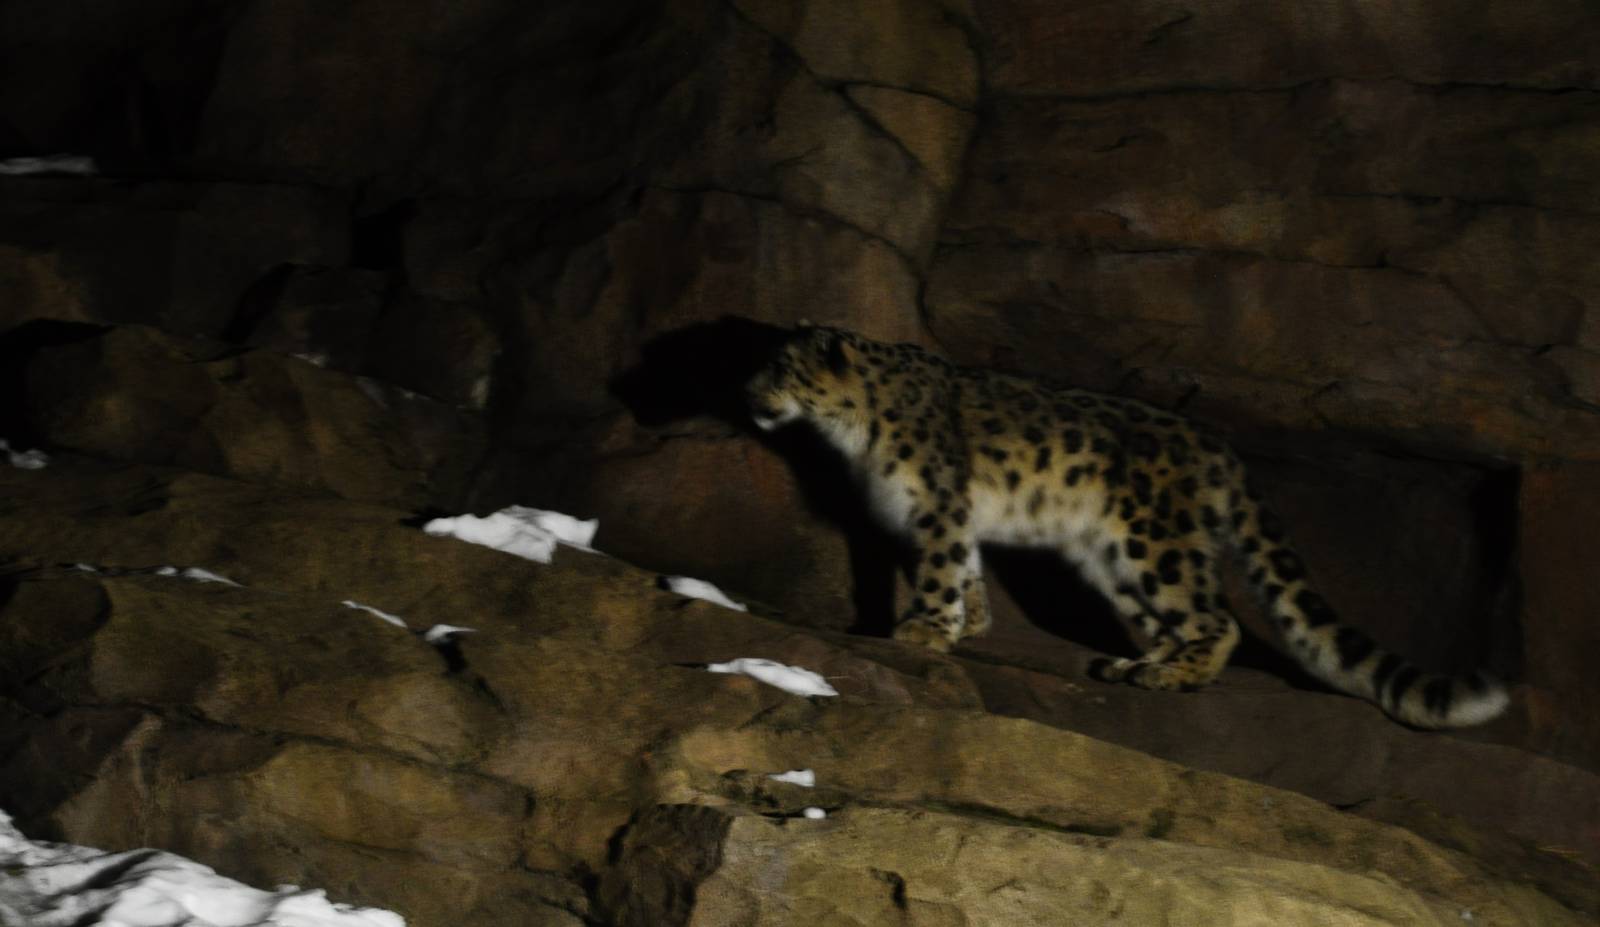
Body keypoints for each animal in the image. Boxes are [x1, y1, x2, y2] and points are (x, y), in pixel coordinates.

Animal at [744, 322, 1510, 729]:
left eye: (781, 366)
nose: (748, 392)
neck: (852, 435)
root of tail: (1218, 445)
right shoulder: (946, 514)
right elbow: (967, 567)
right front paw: (971, 622)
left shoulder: (935, 501)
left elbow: (939, 567)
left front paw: (924, 629)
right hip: (1111, 559)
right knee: (1173, 619)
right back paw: (1135, 663)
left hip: (1154, 540)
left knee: (1217, 619)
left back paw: (1169, 676)